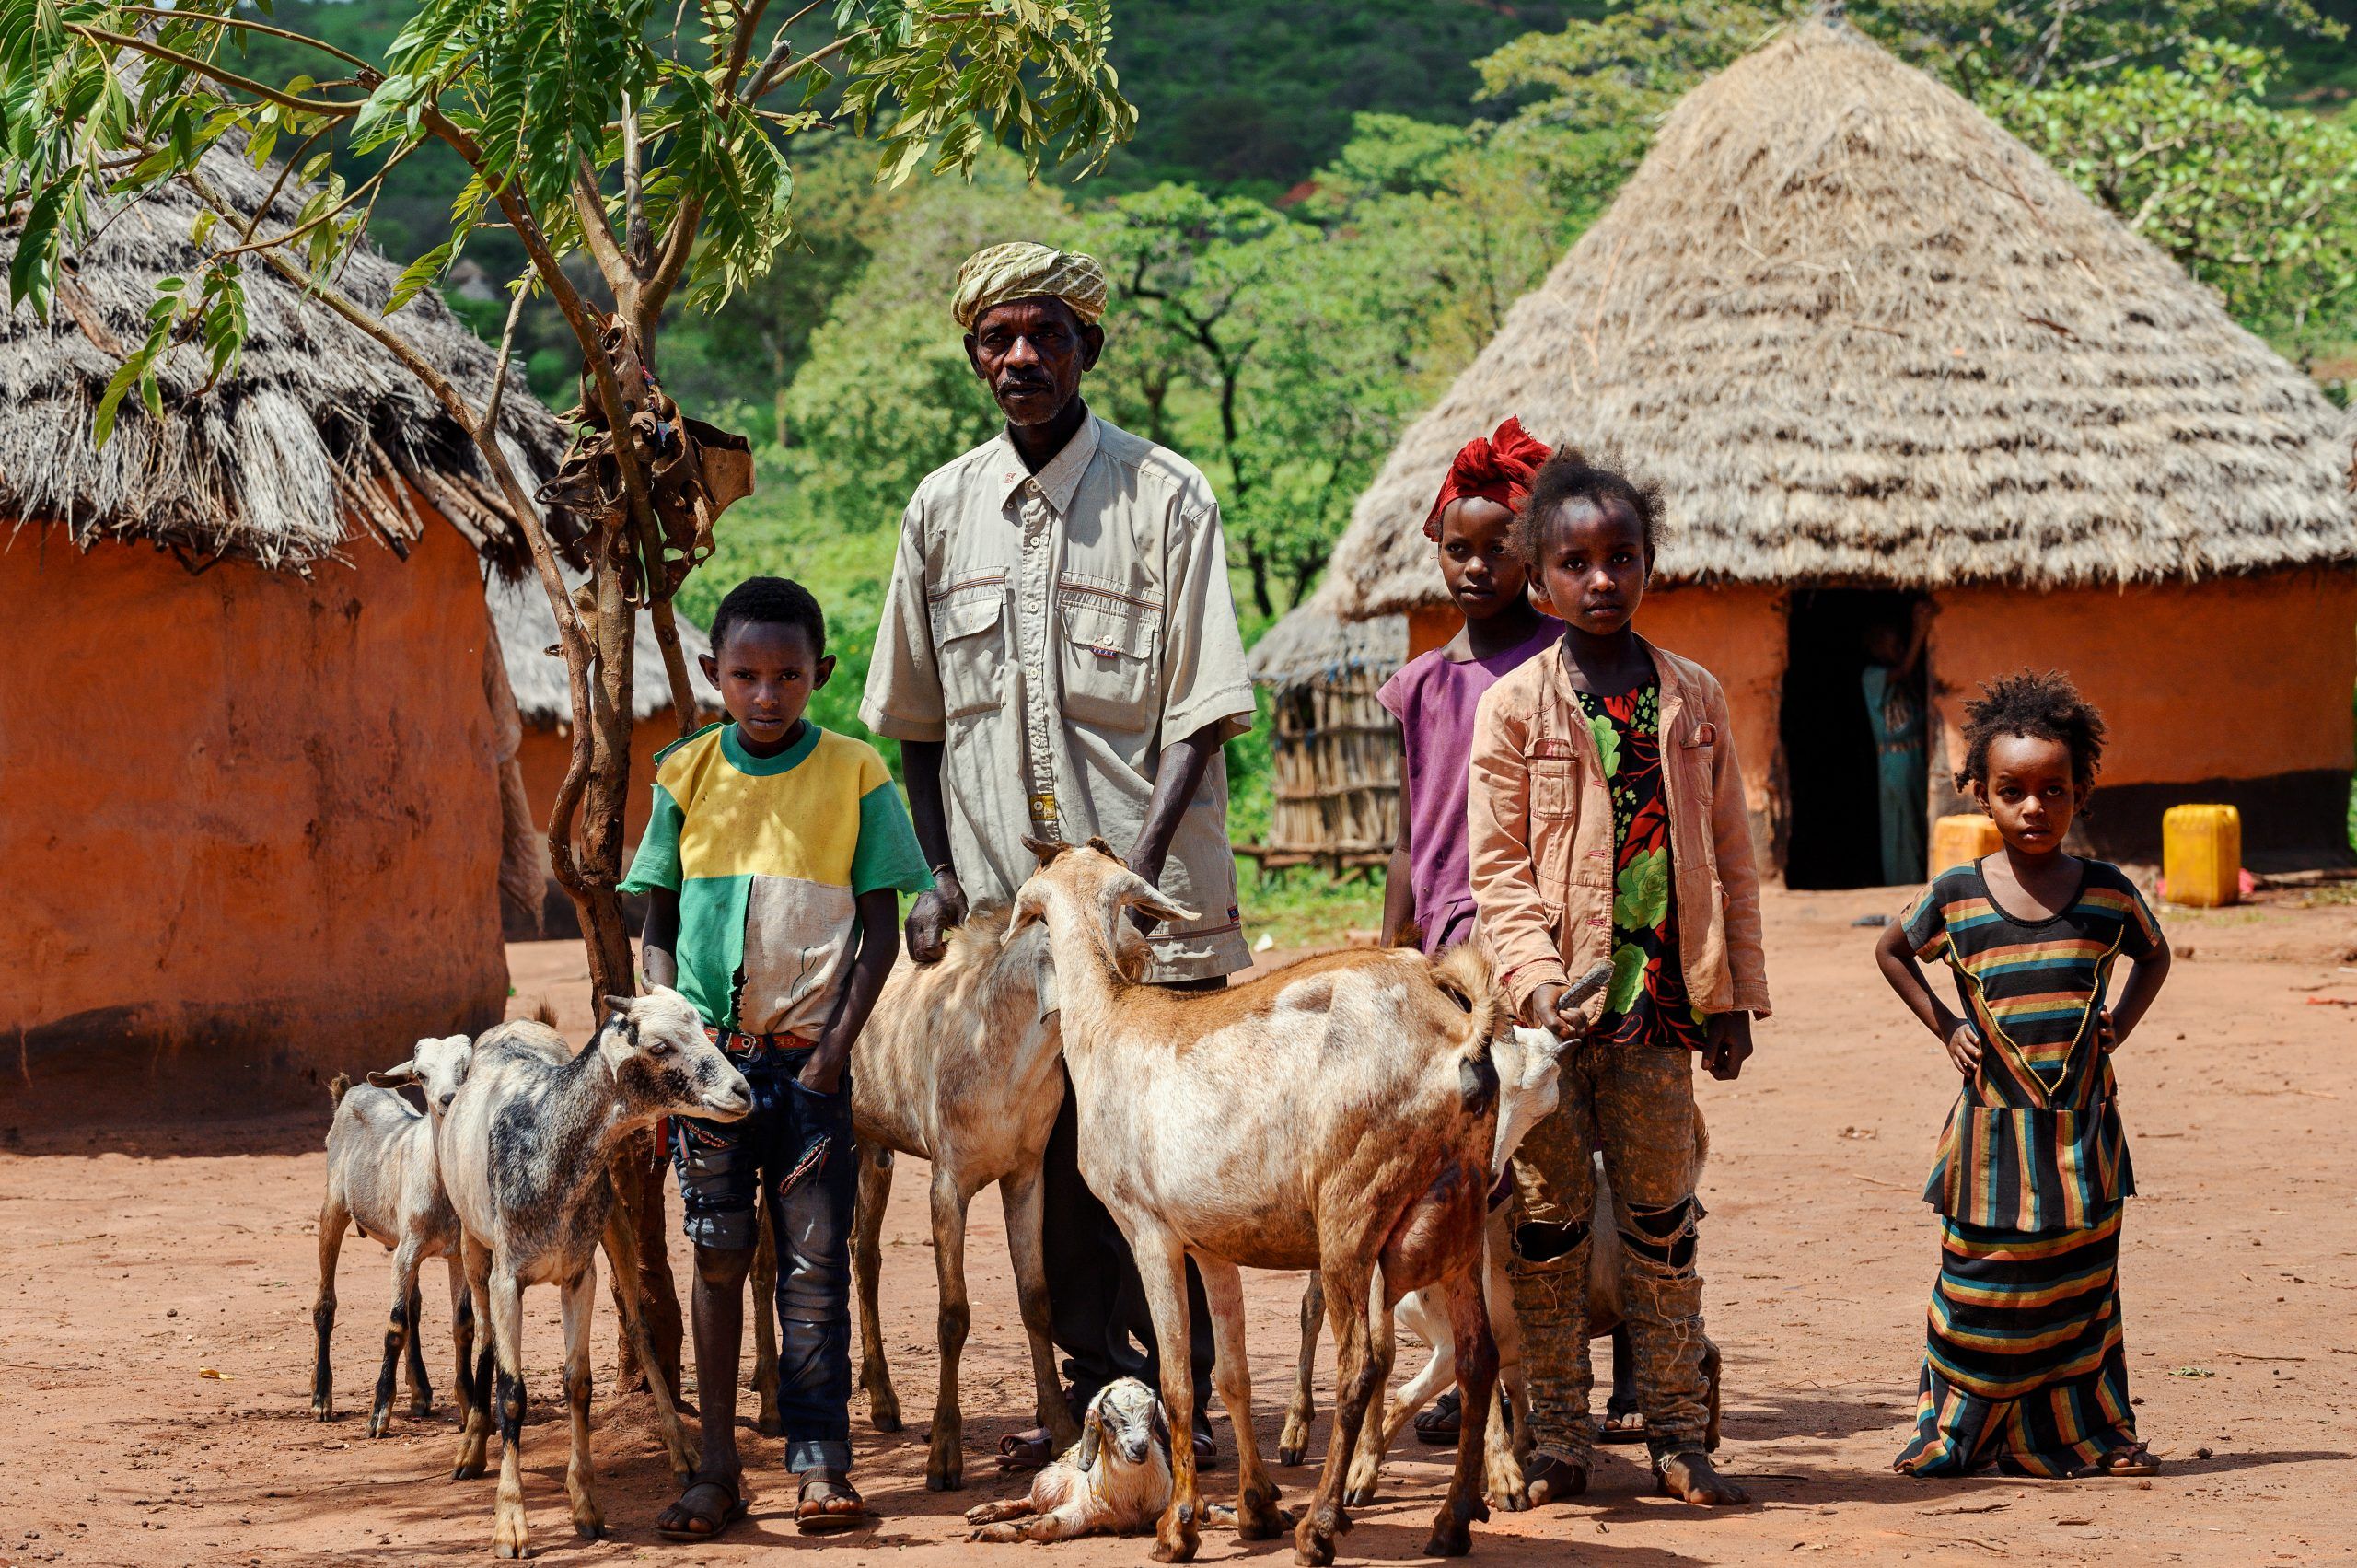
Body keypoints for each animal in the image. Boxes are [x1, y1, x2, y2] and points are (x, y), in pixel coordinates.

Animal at [313, 1032, 478, 1434]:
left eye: (466, 1066)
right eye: (420, 1074)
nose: (447, 1099)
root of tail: (351, 1091)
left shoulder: (455, 1252)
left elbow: (463, 1325)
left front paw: (469, 1407)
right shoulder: (406, 1251)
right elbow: (394, 1327)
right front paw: (378, 1415)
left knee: (415, 1306)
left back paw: (421, 1392)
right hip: (334, 1207)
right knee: (325, 1303)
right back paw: (321, 1397)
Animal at [434, 990, 744, 1556]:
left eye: (702, 1027)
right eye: (660, 1045)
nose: (742, 1091)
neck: (545, 1138)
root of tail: (519, 1023)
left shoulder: (580, 1274)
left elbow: (578, 1384)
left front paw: (586, 1507)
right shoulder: (507, 1276)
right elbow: (512, 1392)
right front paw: (510, 1524)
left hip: (615, 1224)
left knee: (640, 1331)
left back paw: (682, 1451)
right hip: (472, 1243)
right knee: (484, 1335)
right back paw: (471, 1448)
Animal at [961, 1376, 1173, 1537]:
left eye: (1153, 1416)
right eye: (1106, 1421)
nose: (1139, 1448)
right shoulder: (1085, 1509)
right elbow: (1045, 1524)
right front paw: (989, 1533)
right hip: (1049, 1485)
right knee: (1029, 1500)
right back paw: (984, 1512)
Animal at [1004, 839, 1499, 1556]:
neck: (1109, 1020)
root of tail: (1461, 1038)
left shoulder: (1148, 1230)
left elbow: (1177, 1380)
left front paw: (1178, 1528)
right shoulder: (1211, 1243)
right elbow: (1232, 1374)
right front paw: (1257, 1508)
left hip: (1351, 1215)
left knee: (1361, 1364)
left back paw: (1321, 1526)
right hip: (1462, 1213)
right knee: (1477, 1355)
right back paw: (1451, 1522)